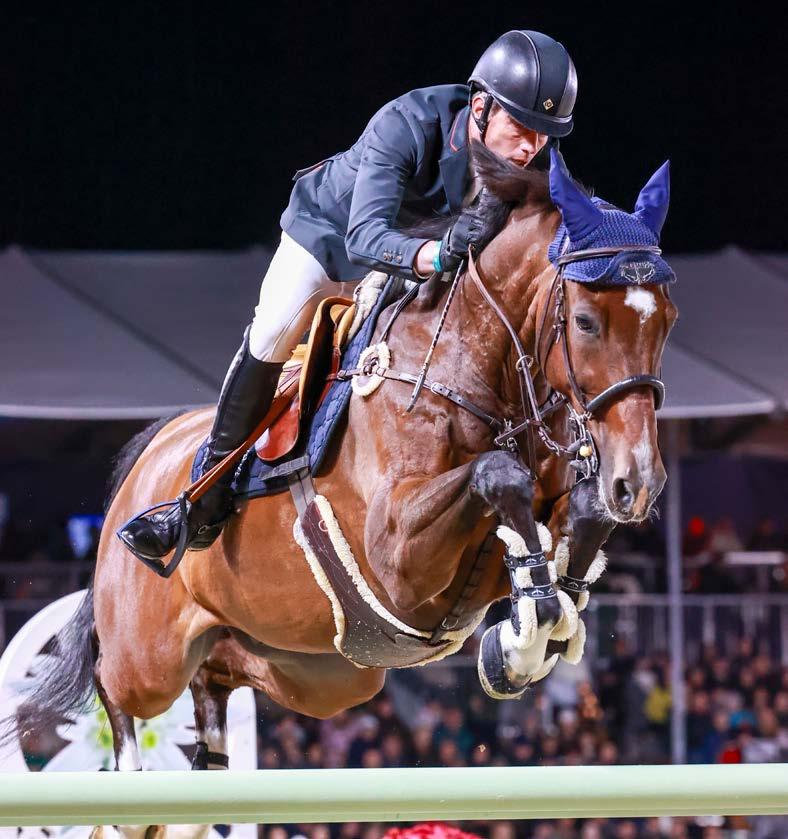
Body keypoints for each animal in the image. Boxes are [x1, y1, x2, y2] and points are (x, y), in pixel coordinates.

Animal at [9, 144, 676, 835]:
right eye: (586, 321)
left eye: (667, 321)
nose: (640, 481)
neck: (467, 370)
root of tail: (152, 451)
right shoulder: (398, 554)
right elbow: (498, 475)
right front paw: (528, 627)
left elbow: (577, 516)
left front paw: (533, 630)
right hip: (150, 656)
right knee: (113, 681)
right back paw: (129, 794)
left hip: (316, 672)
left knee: (217, 682)